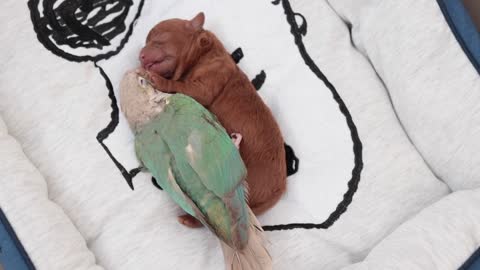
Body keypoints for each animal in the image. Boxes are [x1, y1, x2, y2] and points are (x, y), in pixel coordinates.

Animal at [139, 12, 284, 228]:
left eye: (158, 39)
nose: (140, 55)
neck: (203, 53)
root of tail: (277, 192)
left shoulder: (206, 83)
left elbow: (180, 87)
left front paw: (158, 80)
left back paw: (189, 219)